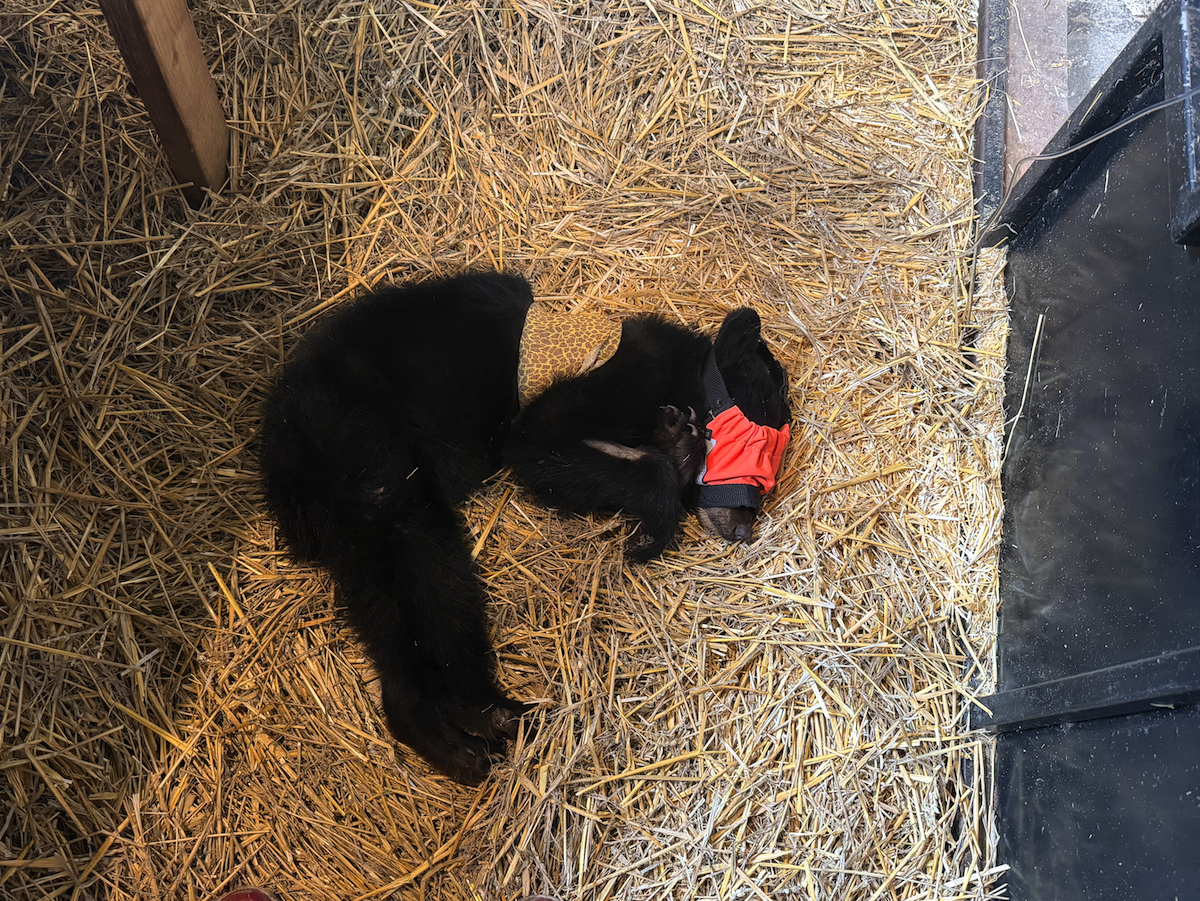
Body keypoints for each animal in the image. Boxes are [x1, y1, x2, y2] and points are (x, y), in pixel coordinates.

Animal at [258, 270, 791, 784]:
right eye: (762, 445)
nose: (744, 530)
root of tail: (279, 449)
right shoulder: (592, 397)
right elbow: (540, 447)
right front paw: (658, 513)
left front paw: (678, 451)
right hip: (369, 460)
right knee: (428, 575)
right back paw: (483, 718)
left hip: (359, 520)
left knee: (392, 621)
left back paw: (457, 739)